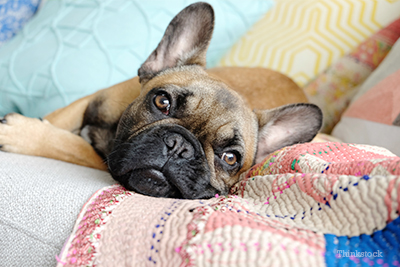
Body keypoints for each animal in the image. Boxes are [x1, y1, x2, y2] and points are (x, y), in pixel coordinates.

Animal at [0, 2, 322, 199]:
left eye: (230, 158)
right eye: (162, 102)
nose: (180, 146)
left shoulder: (100, 157)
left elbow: (71, 145)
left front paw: (21, 133)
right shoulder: (88, 102)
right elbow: (57, 120)